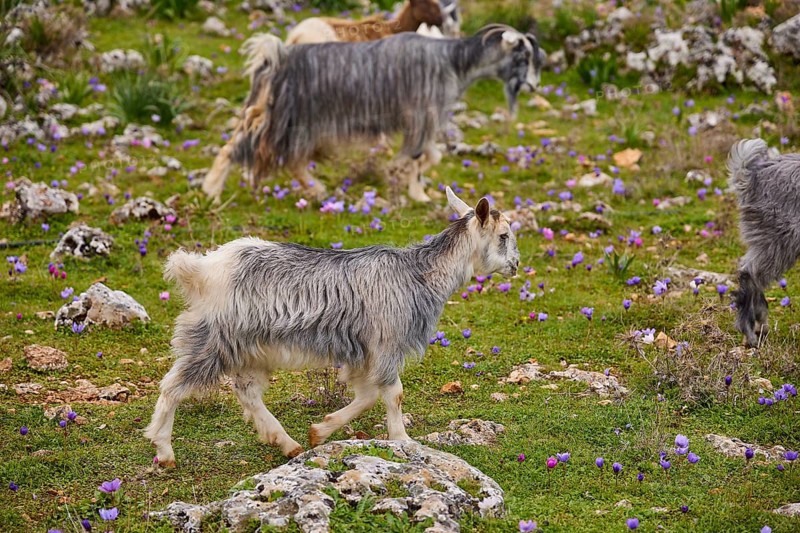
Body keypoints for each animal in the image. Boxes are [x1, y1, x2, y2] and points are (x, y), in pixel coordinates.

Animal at [144, 188, 520, 465]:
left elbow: (367, 395)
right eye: (504, 235)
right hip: (211, 340)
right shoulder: (386, 342)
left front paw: (319, 431)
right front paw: (402, 440)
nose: (516, 265)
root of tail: (201, 270)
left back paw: (287, 443)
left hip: (251, 348)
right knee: (172, 386)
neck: (417, 274)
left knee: (247, 392)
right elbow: (393, 394)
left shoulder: (365, 351)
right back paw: (164, 451)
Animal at [202, 25, 544, 203]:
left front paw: (408, 183)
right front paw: (416, 191)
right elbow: (418, 157)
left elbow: (429, 156)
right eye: (522, 57)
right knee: (243, 148)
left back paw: (316, 188)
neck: (452, 61)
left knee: (291, 159)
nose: (533, 87)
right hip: (287, 120)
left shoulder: (423, 122)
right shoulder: (421, 115)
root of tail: (275, 57)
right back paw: (212, 191)